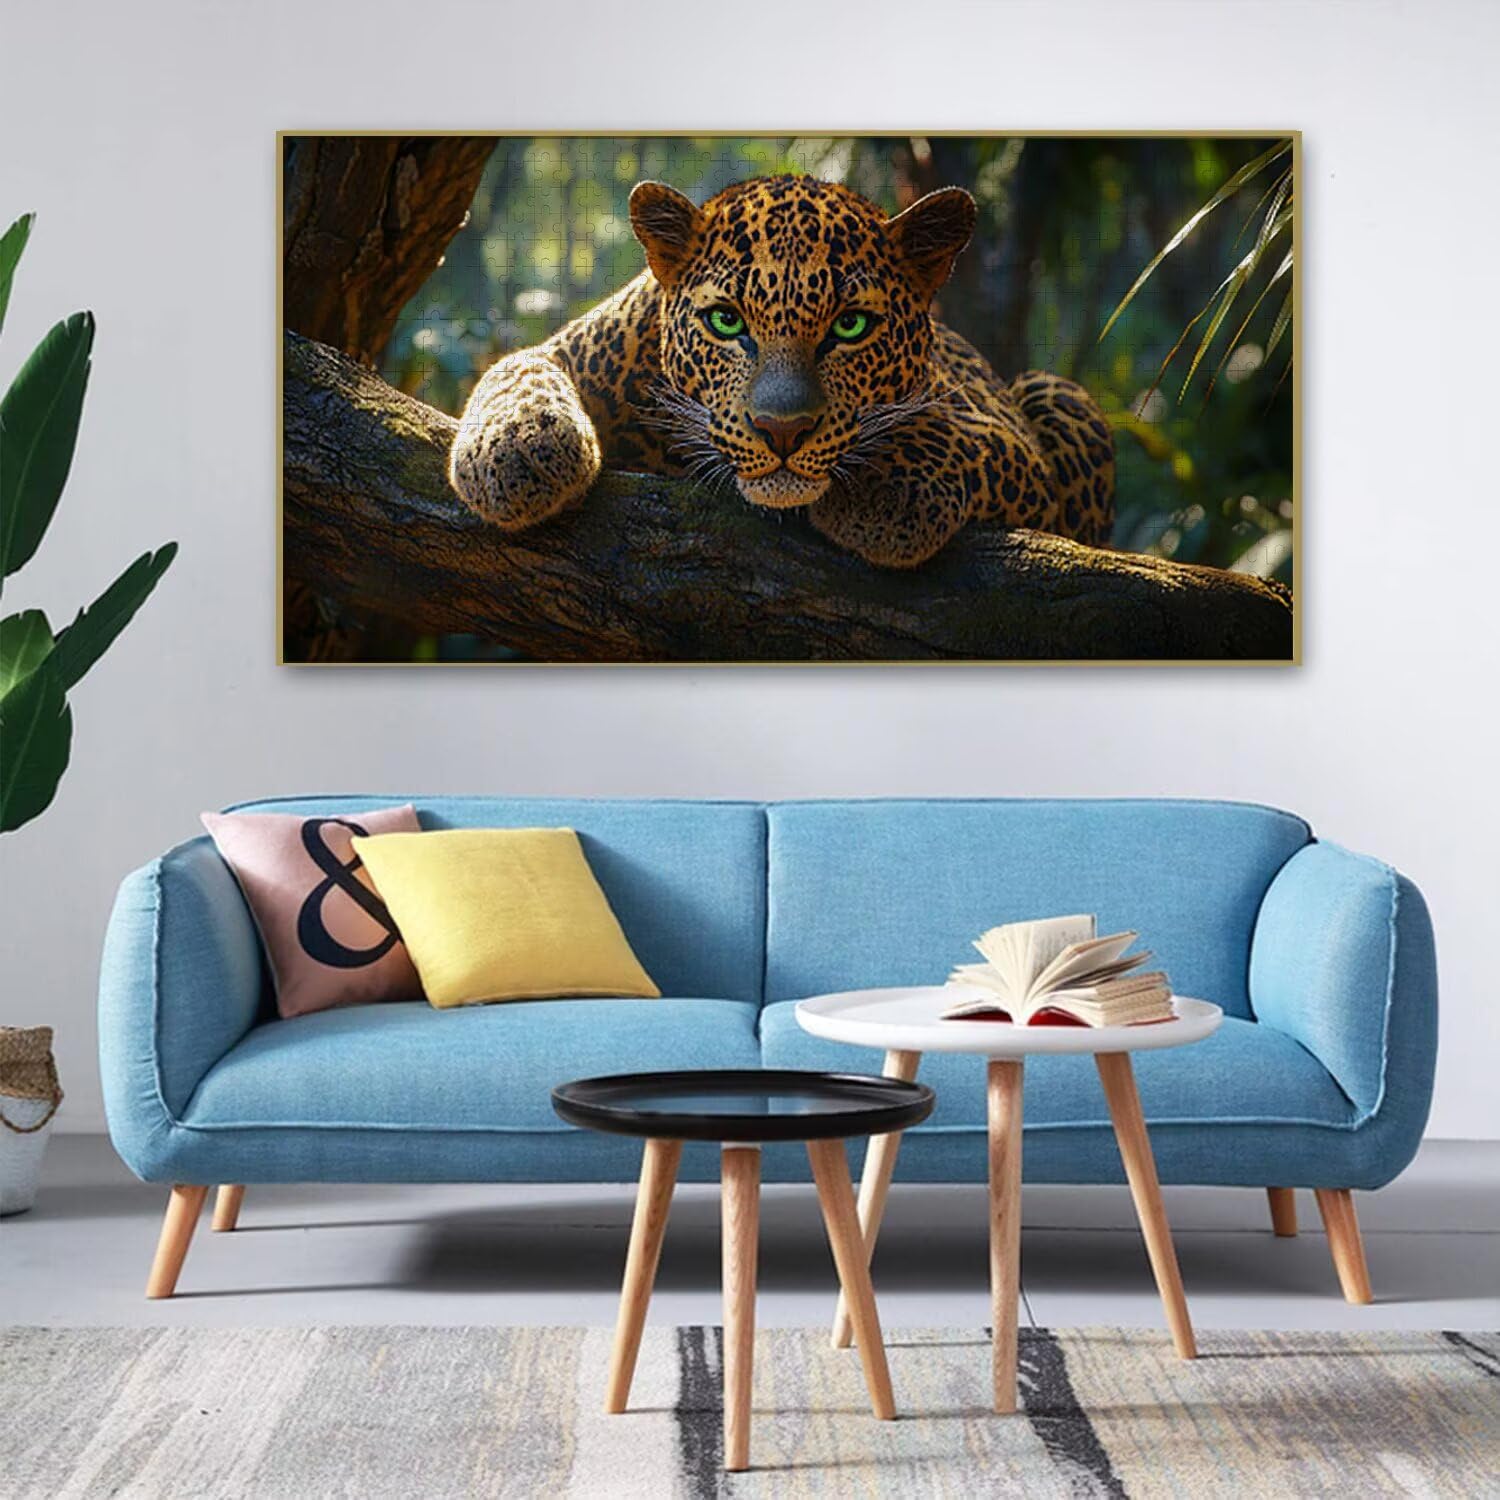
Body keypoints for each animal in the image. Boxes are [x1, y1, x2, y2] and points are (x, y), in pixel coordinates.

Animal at [448, 174, 1115, 568]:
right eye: (725, 321)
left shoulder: (1014, 447)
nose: (782, 431)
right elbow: (516, 368)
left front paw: (884, 492)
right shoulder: (576, 349)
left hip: (1051, 387)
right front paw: (519, 449)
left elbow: (946, 433)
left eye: (851, 326)